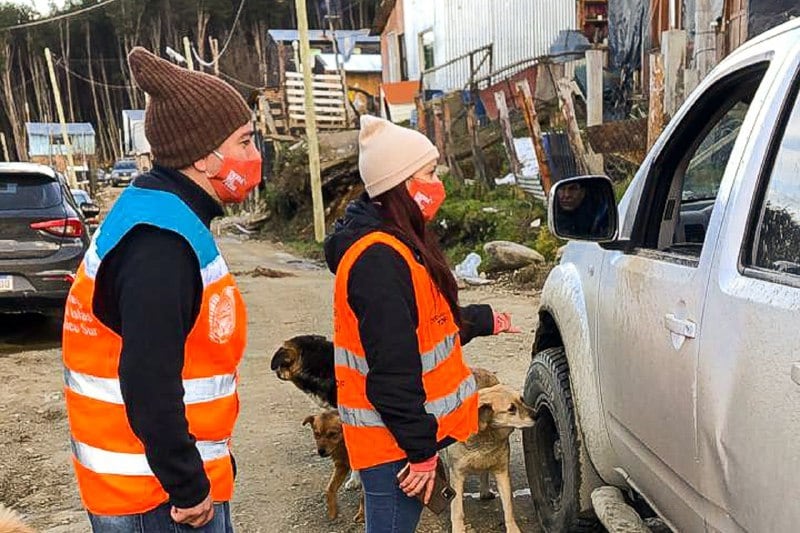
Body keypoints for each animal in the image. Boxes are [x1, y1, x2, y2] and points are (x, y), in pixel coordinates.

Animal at [444, 382, 536, 532]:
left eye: (522, 399)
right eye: (511, 409)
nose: (537, 414)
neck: (485, 435)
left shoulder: (502, 472)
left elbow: (508, 506)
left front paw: (512, 528)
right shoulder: (457, 475)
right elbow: (457, 509)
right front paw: (458, 528)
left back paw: (485, 491)